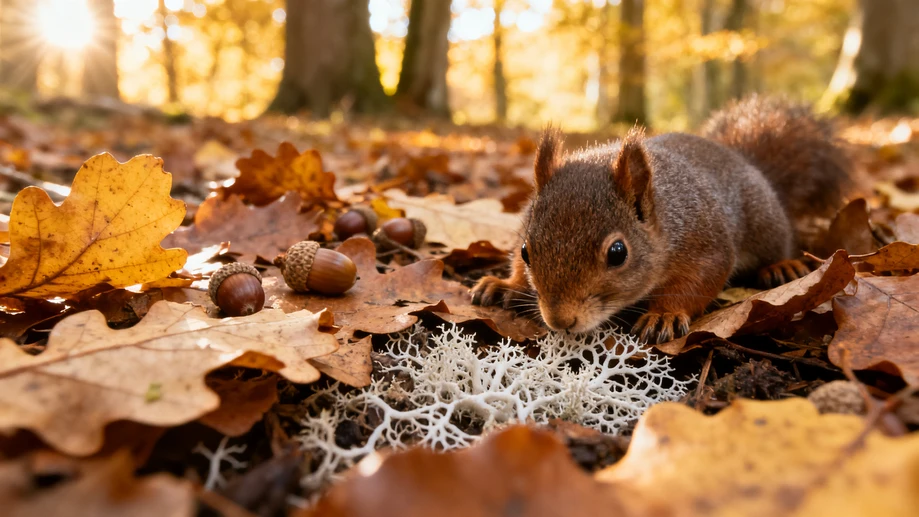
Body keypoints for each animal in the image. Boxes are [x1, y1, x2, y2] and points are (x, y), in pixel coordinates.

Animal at [471, 95, 852, 344]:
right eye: (525, 250)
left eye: (618, 253)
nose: (560, 320)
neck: (661, 217)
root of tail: (746, 162)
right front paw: (505, 284)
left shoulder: (704, 242)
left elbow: (699, 282)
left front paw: (663, 314)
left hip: (765, 223)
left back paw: (782, 266)